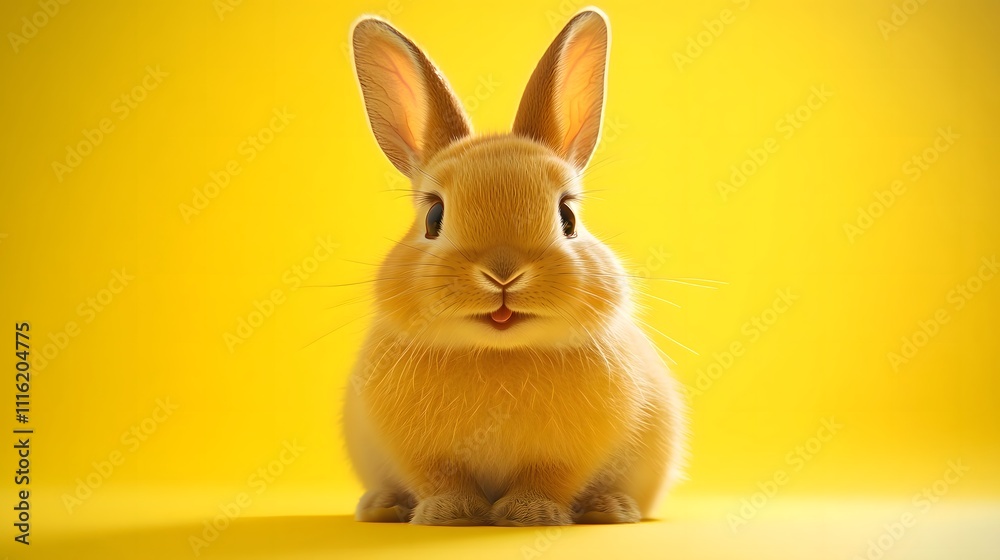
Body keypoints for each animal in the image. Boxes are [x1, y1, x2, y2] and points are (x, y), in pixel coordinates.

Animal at [343, 7, 686, 526]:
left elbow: (547, 479)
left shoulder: (565, 456)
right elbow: (441, 478)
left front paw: (531, 515)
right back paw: (381, 507)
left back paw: (611, 509)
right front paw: (449, 514)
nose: (502, 273)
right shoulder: (421, 455)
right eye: (434, 217)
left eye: (567, 217)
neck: (498, 354)